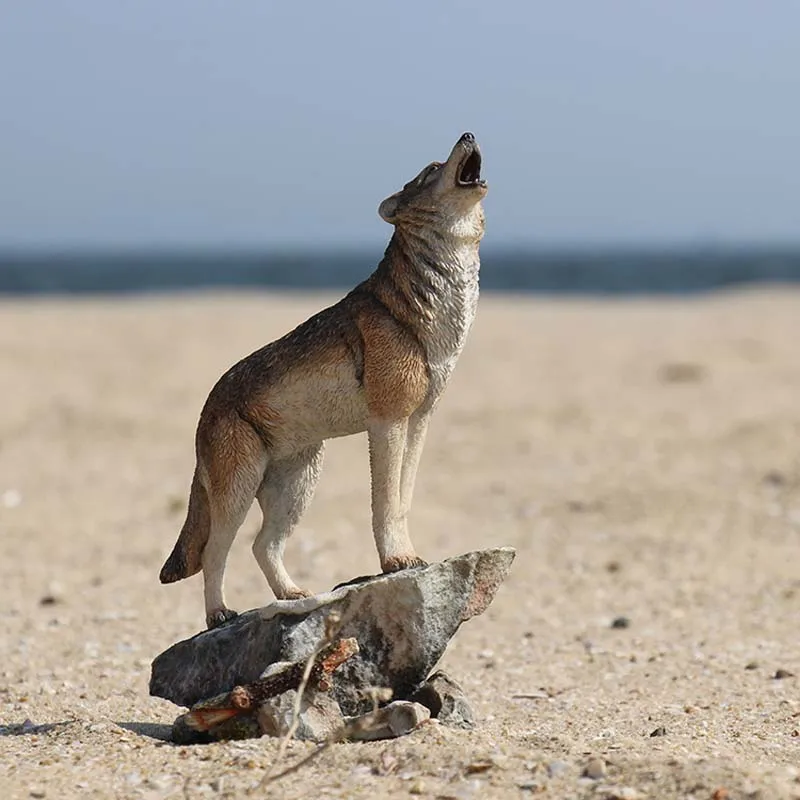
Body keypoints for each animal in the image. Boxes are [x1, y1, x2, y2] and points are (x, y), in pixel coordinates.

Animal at [159, 132, 488, 628]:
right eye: (432, 168)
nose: (468, 133)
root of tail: (207, 405)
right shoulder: (386, 422)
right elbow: (383, 504)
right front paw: (395, 562)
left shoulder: (419, 420)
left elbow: (403, 501)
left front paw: (408, 555)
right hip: (239, 489)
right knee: (218, 550)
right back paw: (219, 614)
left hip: (297, 485)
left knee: (262, 545)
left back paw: (292, 596)